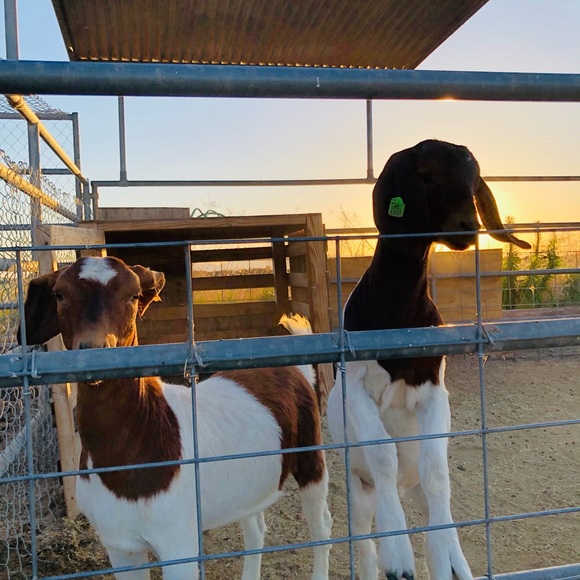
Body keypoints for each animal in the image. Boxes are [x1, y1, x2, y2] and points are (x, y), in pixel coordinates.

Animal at [19, 256, 332, 580]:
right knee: (256, 526)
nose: (94, 351)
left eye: (133, 296)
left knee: (321, 524)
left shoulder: (178, 542)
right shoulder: (119, 544)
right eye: (59, 295)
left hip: (311, 452)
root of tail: (295, 370)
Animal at [326, 139, 531, 580]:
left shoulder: (435, 391)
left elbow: (437, 471)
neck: (397, 316)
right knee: (363, 539)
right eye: (427, 175)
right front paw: (398, 555)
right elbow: (383, 454)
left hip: (417, 487)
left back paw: (451, 561)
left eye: (473, 180)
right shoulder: (356, 389)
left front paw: (438, 555)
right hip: (358, 488)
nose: (467, 227)